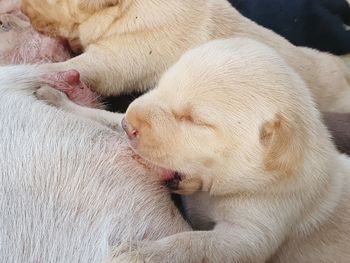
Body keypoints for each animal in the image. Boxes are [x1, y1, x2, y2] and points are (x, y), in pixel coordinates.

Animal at [37, 38, 350, 262]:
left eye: (193, 120)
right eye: (160, 86)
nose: (129, 125)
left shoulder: (254, 231)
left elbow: (195, 243)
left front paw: (141, 254)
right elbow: (106, 117)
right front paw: (60, 99)